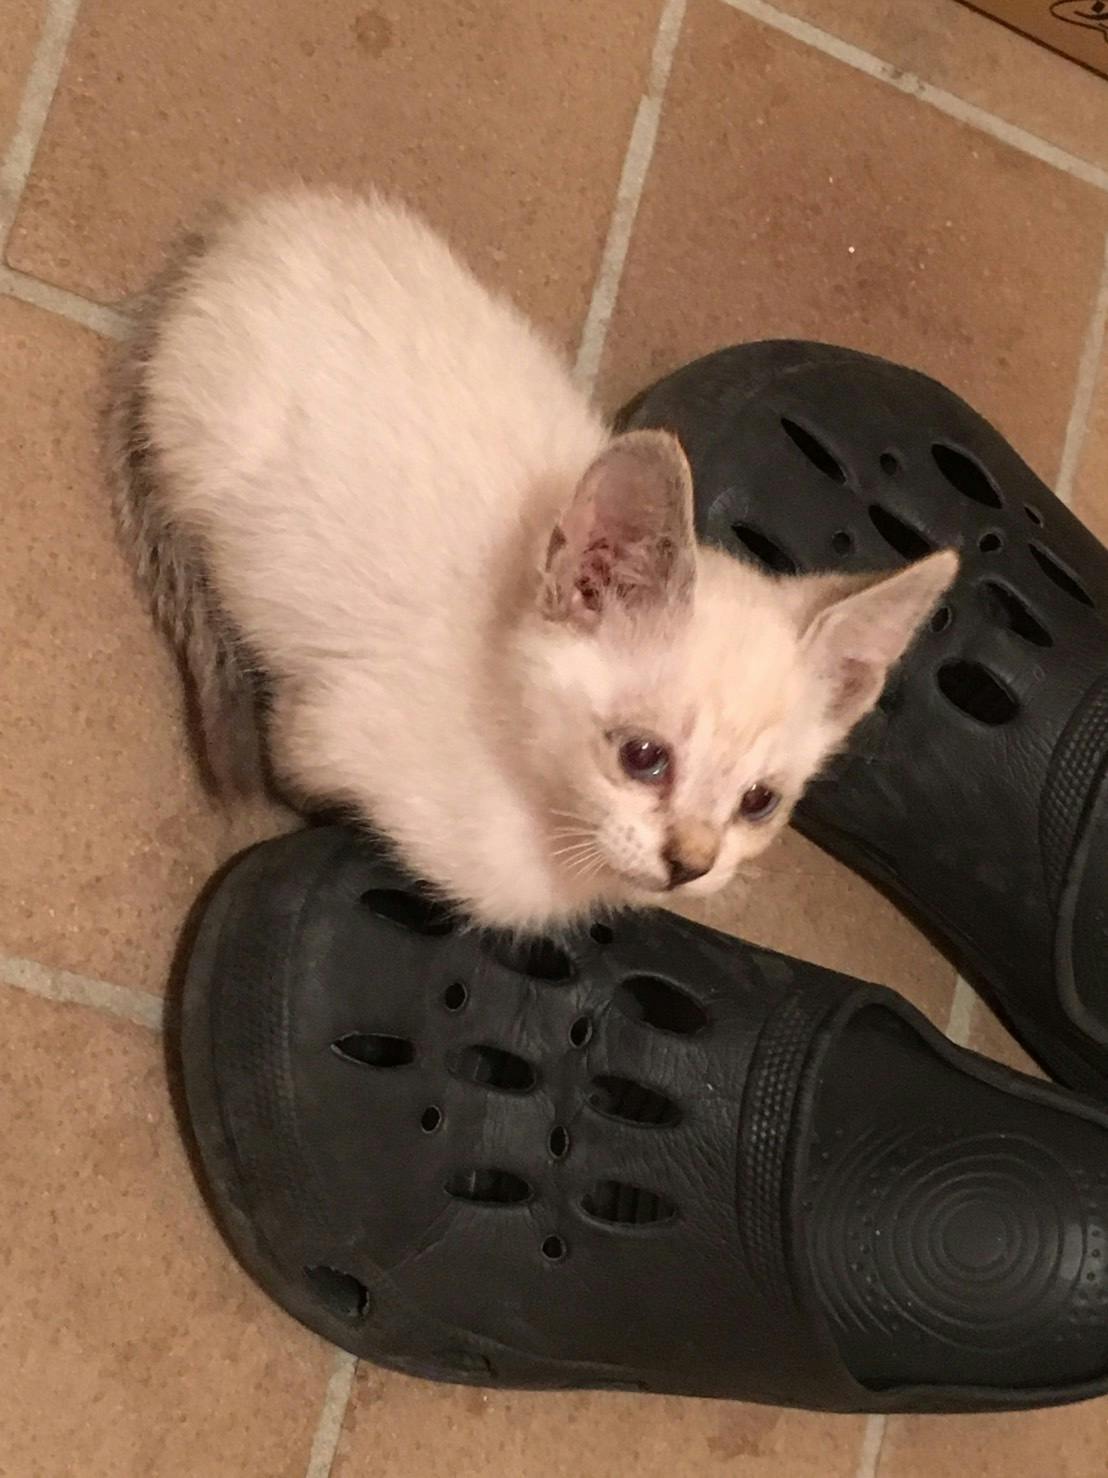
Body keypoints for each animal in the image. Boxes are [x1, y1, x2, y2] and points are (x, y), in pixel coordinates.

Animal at [105, 188, 955, 933]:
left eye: (759, 802)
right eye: (643, 757)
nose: (691, 863)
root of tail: (226, 243)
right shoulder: (329, 728)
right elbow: (300, 770)